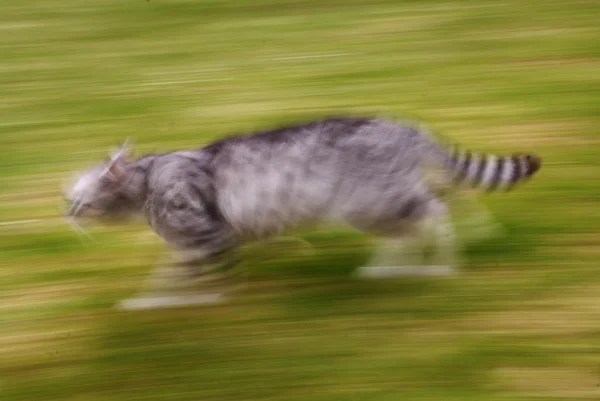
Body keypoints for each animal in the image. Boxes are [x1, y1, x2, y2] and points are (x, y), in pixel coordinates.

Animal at [63, 116, 540, 310]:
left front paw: (171, 300)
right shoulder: (193, 242)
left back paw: (434, 262)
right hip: (387, 196)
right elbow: (172, 272)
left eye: (78, 200)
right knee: (443, 199)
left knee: (433, 212)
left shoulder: (208, 234)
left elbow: (182, 279)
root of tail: (407, 128)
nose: (65, 213)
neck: (148, 178)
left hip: (371, 202)